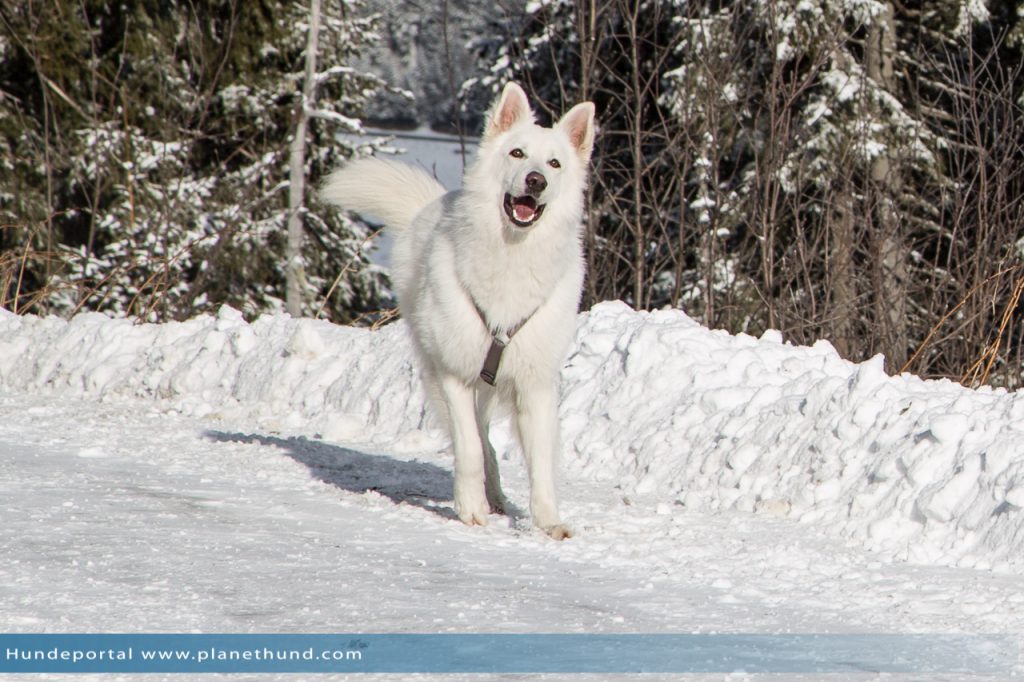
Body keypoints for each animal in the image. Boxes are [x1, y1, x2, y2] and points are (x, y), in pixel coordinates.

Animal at [319, 82, 593, 536]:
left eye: (554, 163)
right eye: (517, 153)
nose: (536, 180)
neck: (511, 259)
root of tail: (428, 206)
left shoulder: (536, 385)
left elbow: (540, 464)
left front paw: (548, 522)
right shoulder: (454, 375)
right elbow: (469, 450)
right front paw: (470, 508)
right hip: (441, 375)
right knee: (482, 444)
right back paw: (487, 496)